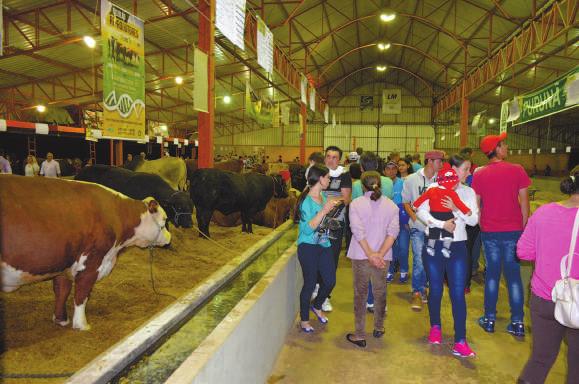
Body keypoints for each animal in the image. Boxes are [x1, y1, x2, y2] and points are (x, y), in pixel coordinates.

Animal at [0, 176, 172, 330]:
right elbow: (82, 294)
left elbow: (62, 290)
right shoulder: (91, 262)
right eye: (164, 220)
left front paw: (61, 319)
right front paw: (82, 325)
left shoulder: (65, 263)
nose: (170, 238)